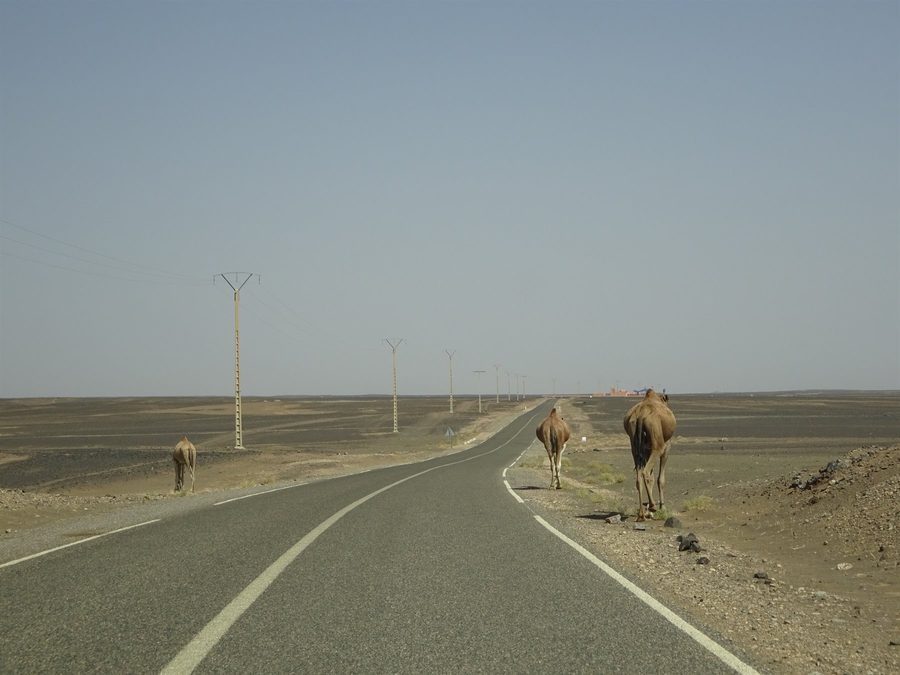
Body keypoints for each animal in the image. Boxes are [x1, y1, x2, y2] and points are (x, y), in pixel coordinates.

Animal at [623, 389, 676, 521]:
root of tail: (640, 416)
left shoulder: (646, 450)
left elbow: (652, 478)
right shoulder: (666, 447)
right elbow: (660, 479)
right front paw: (663, 507)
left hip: (634, 446)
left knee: (639, 477)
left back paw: (642, 514)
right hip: (657, 446)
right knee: (645, 472)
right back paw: (652, 506)